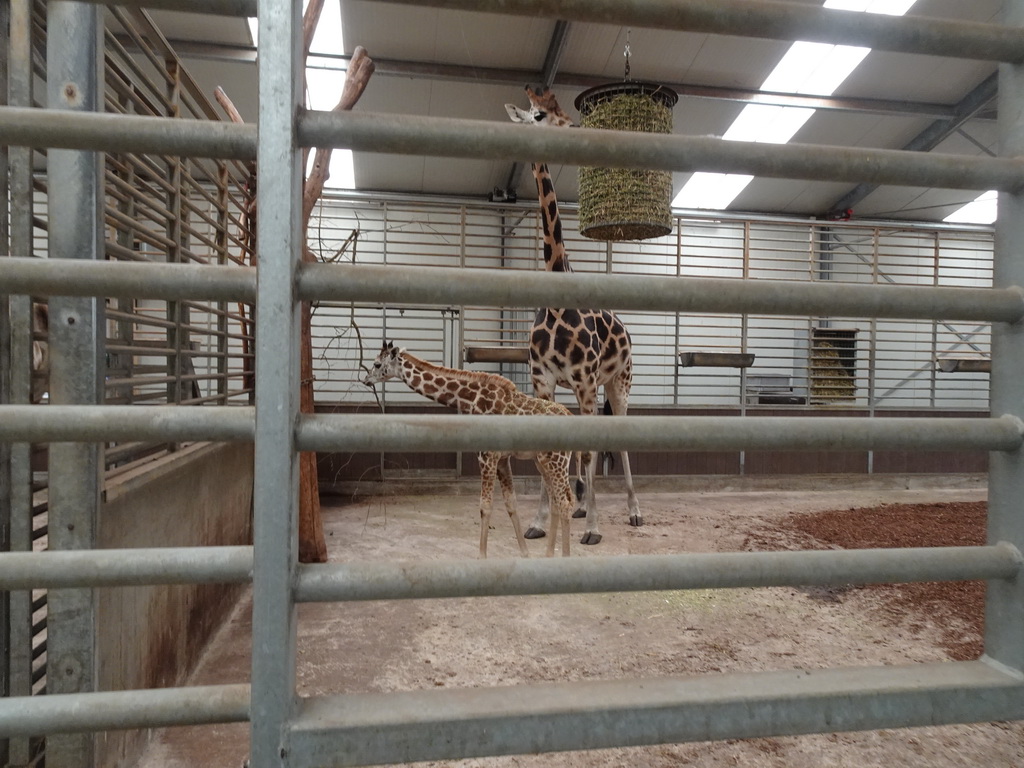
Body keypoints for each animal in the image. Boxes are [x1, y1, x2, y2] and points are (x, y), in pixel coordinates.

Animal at [362, 344, 585, 561]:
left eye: (377, 363)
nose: (365, 379)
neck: (472, 400)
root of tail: (571, 415)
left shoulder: (486, 455)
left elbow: (485, 506)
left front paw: (482, 557)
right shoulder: (502, 458)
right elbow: (510, 503)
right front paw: (525, 554)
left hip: (557, 460)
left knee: (566, 502)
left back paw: (565, 558)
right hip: (544, 460)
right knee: (557, 501)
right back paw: (549, 556)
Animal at [503, 85, 638, 548]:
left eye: (562, 110)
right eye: (539, 115)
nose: (574, 128)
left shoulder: (584, 381)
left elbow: (590, 448)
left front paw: (594, 528)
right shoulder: (545, 382)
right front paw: (541, 521)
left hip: (618, 382)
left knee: (617, 437)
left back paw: (632, 512)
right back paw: (578, 506)